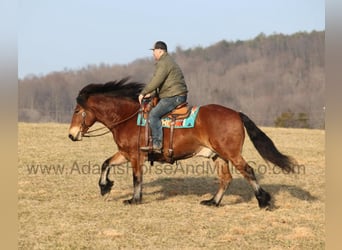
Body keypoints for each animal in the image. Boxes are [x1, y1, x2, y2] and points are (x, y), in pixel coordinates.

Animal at [68, 77, 296, 207]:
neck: (128, 117)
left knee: (247, 171)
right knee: (226, 179)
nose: (71, 135)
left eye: (77, 111)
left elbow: (136, 178)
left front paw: (134, 199)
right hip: (218, 156)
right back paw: (213, 202)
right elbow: (106, 164)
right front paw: (105, 187)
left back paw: (263, 201)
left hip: (231, 154)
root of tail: (236, 114)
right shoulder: (125, 153)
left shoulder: (135, 155)